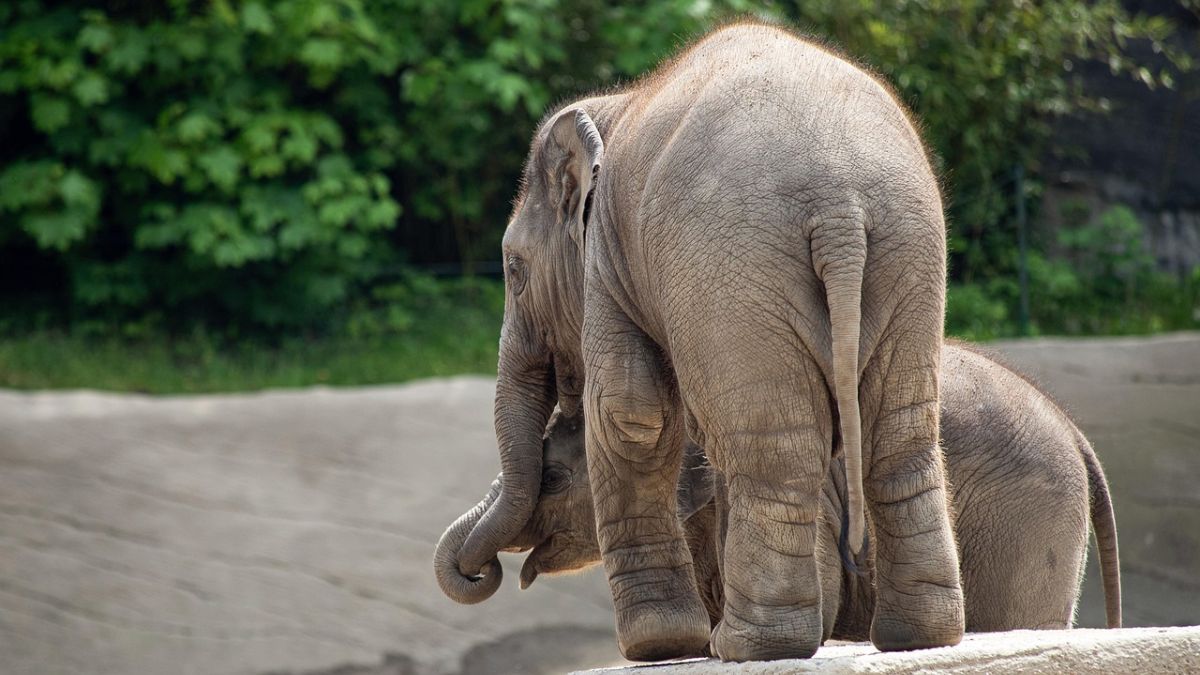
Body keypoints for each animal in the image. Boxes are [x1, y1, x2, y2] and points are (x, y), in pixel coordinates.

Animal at [432, 21, 964, 658]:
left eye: (513, 269)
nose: (481, 573)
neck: (616, 106)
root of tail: (840, 207)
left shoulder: (607, 260)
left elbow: (631, 413)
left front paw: (657, 647)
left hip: (734, 268)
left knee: (774, 442)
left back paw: (747, 645)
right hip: (908, 253)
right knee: (899, 432)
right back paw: (918, 637)